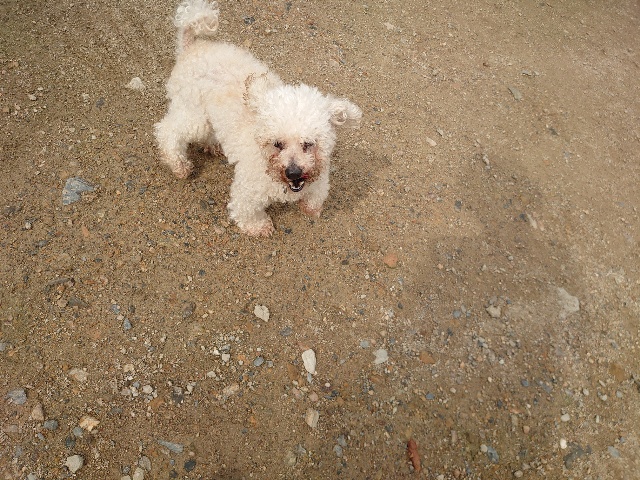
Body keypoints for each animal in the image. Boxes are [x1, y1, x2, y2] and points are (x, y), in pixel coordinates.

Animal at [154, 0, 362, 237]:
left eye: (309, 144)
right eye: (277, 144)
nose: (293, 172)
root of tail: (191, 46)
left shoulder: (319, 179)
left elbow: (315, 196)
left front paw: (310, 208)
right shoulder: (247, 191)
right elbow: (247, 212)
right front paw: (260, 227)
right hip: (195, 115)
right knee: (167, 130)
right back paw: (179, 164)